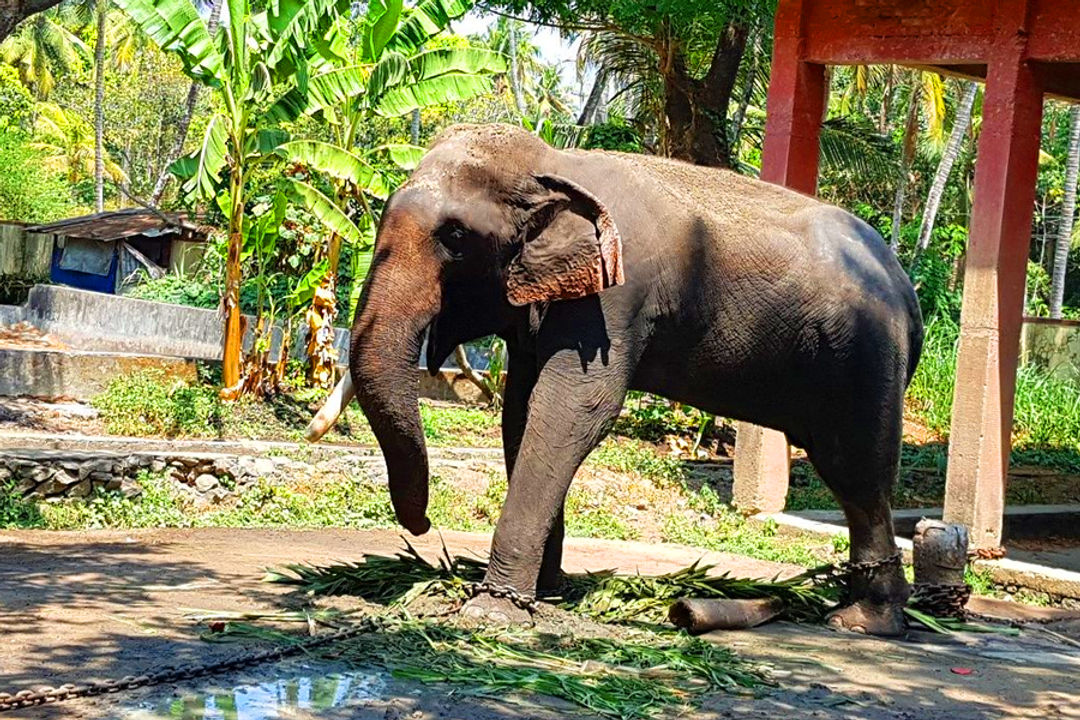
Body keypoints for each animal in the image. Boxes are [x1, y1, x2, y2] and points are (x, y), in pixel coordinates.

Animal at [308, 122, 924, 634]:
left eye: (455, 238)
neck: (553, 163)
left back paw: (862, 623)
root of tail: (907, 286)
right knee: (846, 472)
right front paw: (546, 594)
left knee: (856, 465)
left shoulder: (616, 296)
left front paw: (492, 612)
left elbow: (574, 409)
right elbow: (523, 411)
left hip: (867, 355)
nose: (424, 527)